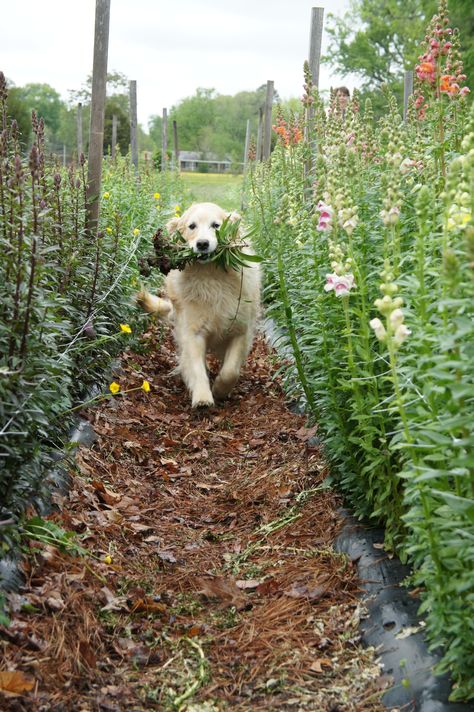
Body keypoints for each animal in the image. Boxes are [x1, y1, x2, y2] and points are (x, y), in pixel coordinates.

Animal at [137, 203, 262, 408]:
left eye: (216, 225)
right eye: (192, 226)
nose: (202, 244)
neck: (211, 275)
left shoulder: (240, 330)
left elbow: (231, 371)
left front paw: (220, 389)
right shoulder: (192, 331)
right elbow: (196, 366)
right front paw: (202, 397)